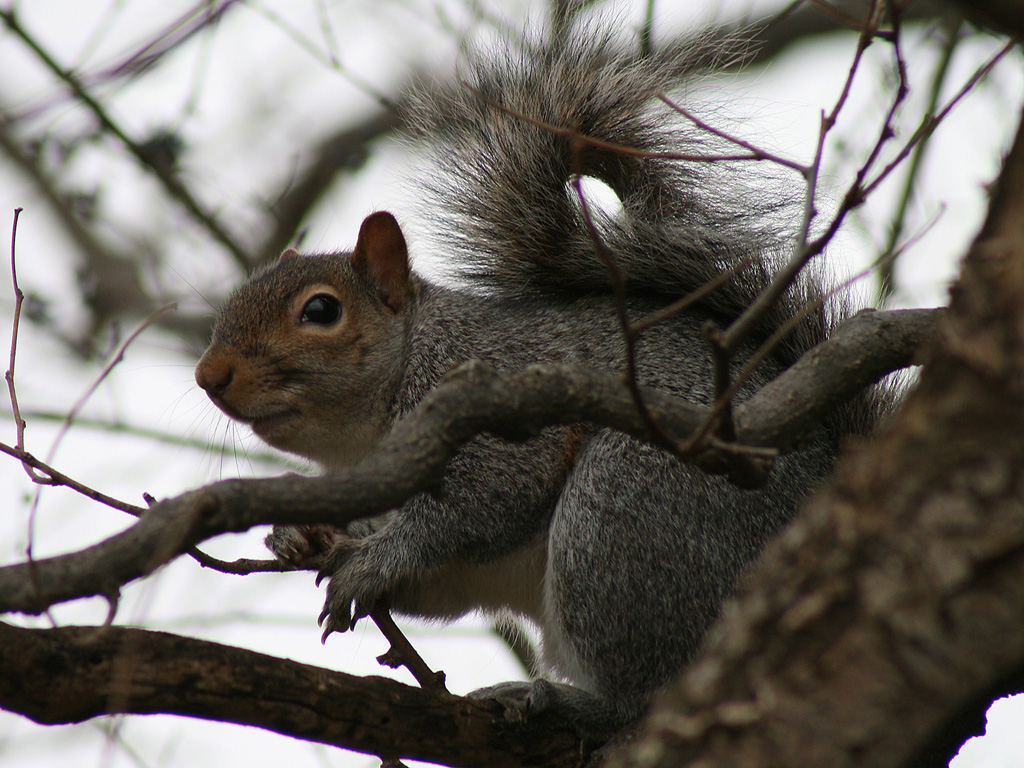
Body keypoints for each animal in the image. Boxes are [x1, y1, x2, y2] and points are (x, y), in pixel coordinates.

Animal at [195, 34, 882, 740]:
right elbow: (437, 584)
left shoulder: (500, 406)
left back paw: (558, 699)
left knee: (646, 691)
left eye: (321, 311)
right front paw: (309, 537)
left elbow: (474, 509)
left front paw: (372, 559)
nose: (208, 375)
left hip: (634, 512)